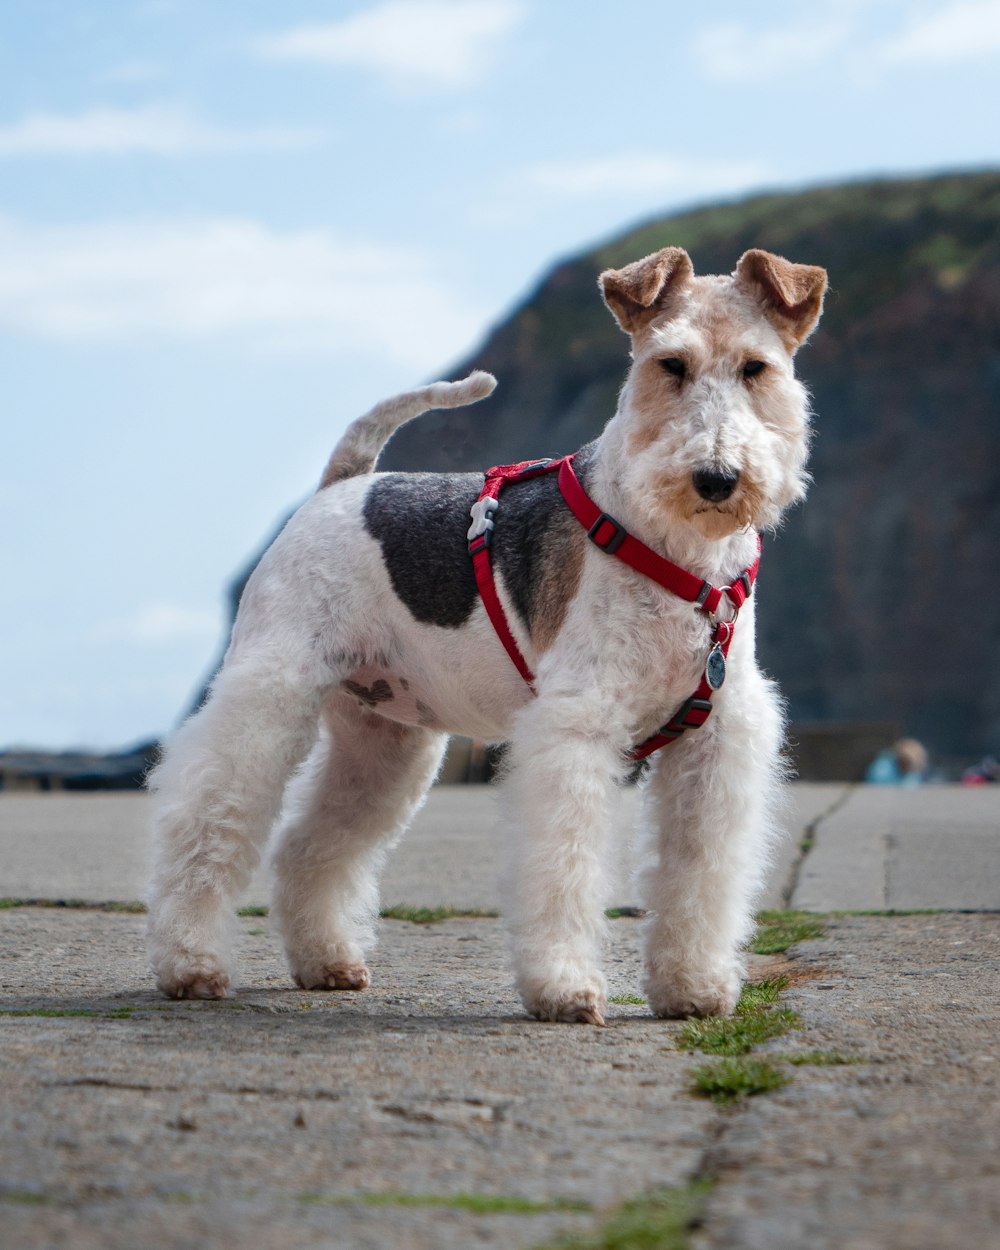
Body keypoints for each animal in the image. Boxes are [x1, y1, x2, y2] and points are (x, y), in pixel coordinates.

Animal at [146, 246, 820, 1025]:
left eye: (756, 367)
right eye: (671, 365)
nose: (715, 478)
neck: (677, 549)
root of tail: (342, 486)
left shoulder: (716, 740)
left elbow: (700, 869)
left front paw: (694, 987)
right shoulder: (576, 726)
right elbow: (564, 864)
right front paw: (565, 988)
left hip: (386, 745)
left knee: (308, 848)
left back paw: (327, 962)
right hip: (269, 700)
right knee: (206, 824)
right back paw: (191, 965)